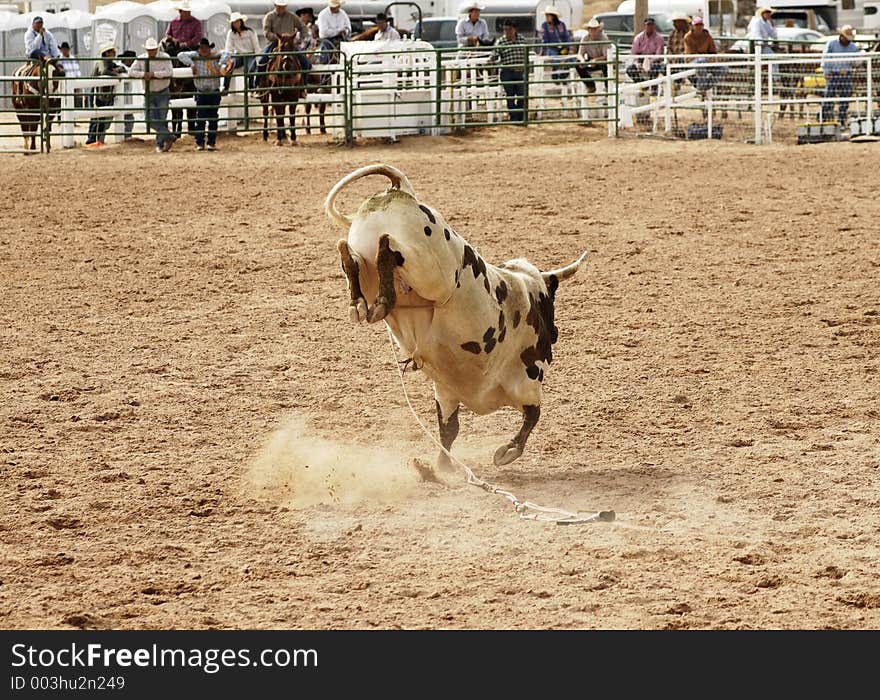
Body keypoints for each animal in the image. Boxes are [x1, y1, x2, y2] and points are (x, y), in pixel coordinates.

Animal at [326, 164, 588, 468]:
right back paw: (382, 289)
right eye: (551, 306)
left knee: (353, 258)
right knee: (390, 252)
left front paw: (440, 468)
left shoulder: (446, 392)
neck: (524, 290)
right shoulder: (529, 380)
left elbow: (449, 429)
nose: (554, 334)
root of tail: (401, 190)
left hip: (373, 265)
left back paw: (362, 299)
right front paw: (506, 452)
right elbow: (533, 415)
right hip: (428, 271)